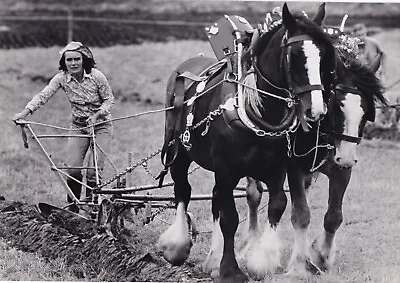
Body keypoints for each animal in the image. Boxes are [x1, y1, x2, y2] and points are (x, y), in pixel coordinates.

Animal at [157, 3, 338, 282]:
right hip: (179, 153)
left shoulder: (276, 168)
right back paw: (177, 246)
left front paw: (259, 260)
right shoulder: (225, 167)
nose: (316, 111)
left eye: (324, 57)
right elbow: (230, 218)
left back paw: (211, 260)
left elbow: (277, 205)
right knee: (183, 191)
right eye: (295, 56)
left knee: (215, 198)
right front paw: (230, 269)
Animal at [238, 34, 388, 280]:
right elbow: (301, 214)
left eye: (366, 112)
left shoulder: (341, 170)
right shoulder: (294, 167)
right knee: (254, 195)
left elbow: (333, 216)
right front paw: (299, 265)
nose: (347, 158)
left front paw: (321, 257)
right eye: (337, 106)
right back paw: (250, 243)